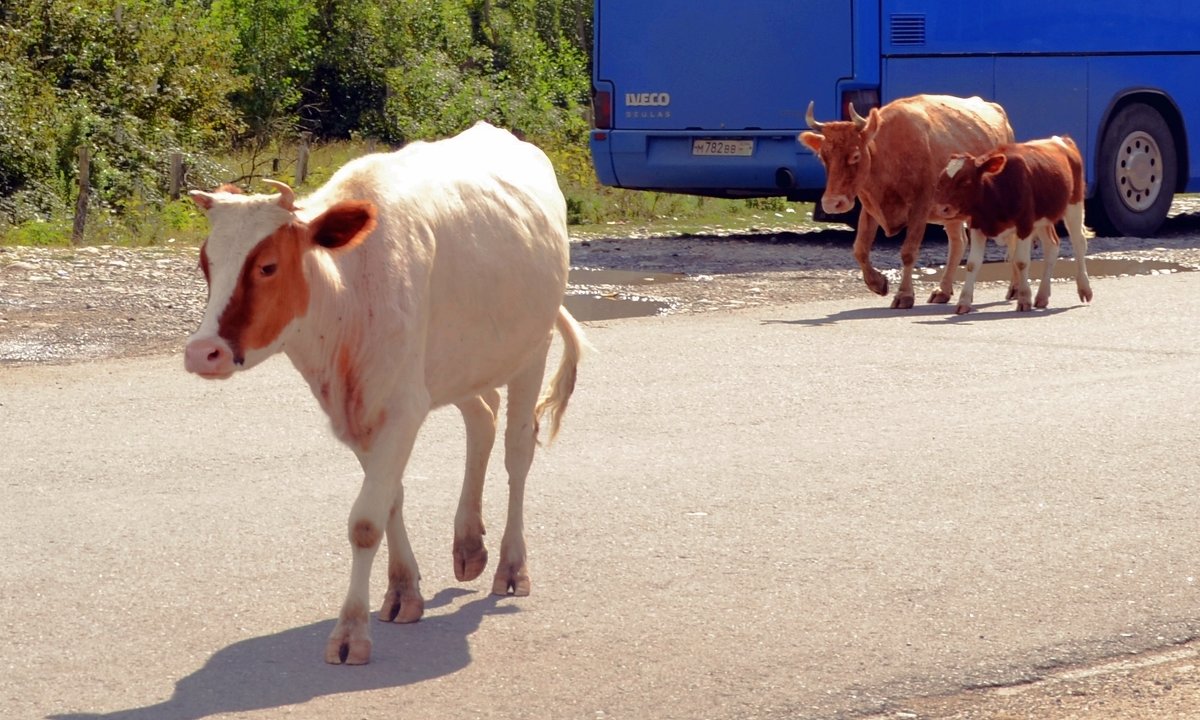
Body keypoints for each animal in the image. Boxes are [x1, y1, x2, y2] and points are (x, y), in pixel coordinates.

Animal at [181, 121, 585, 667]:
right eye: (206, 263)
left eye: (267, 266)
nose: (203, 352)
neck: (348, 292)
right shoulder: (361, 409)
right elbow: (390, 497)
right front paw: (402, 592)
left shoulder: (400, 406)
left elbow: (365, 521)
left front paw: (352, 630)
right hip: (456, 365)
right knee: (482, 417)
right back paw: (468, 545)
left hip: (530, 351)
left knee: (517, 452)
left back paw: (511, 566)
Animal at [801, 94, 1017, 307]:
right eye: (822, 157)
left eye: (855, 155)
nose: (831, 203)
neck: (890, 155)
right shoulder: (870, 208)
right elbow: (860, 249)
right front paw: (878, 283)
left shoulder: (921, 207)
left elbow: (908, 252)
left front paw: (904, 295)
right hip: (951, 213)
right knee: (958, 243)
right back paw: (943, 291)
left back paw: (1014, 289)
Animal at [931, 135, 1094, 314]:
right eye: (941, 181)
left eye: (965, 182)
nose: (942, 208)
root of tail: (1061, 139)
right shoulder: (977, 225)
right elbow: (972, 264)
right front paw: (964, 301)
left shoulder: (1025, 224)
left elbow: (1021, 261)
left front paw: (1024, 298)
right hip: (1043, 218)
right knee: (1052, 246)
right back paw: (1042, 296)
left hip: (1074, 204)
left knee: (1079, 243)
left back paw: (1084, 289)